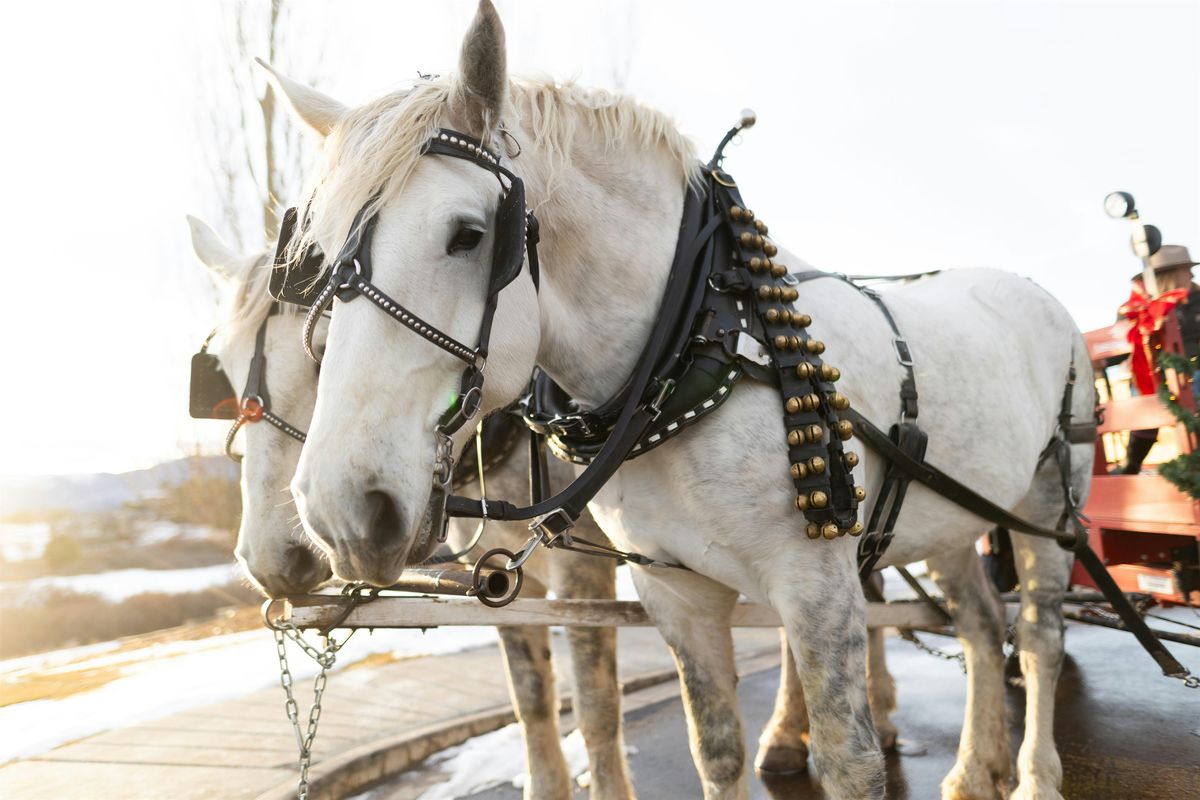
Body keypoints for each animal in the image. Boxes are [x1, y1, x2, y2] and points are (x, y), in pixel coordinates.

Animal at [270, 4, 1089, 796]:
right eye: (318, 258)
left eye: (469, 235)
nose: (341, 507)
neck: (695, 345)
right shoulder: (675, 593)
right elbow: (715, 751)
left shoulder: (819, 588)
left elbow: (849, 764)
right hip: (952, 520)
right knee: (980, 625)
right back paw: (973, 769)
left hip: (1050, 508)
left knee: (1038, 639)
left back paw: (1035, 776)